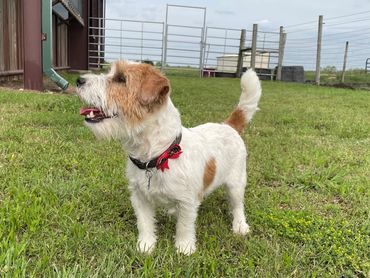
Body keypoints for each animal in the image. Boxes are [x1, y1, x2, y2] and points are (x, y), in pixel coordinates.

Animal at [76, 62, 260, 255]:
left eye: (120, 79)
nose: (79, 80)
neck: (160, 155)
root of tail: (228, 125)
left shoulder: (187, 201)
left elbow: (185, 226)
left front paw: (184, 248)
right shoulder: (139, 197)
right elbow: (144, 223)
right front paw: (146, 246)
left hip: (236, 184)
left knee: (238, 205)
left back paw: (240, 226)